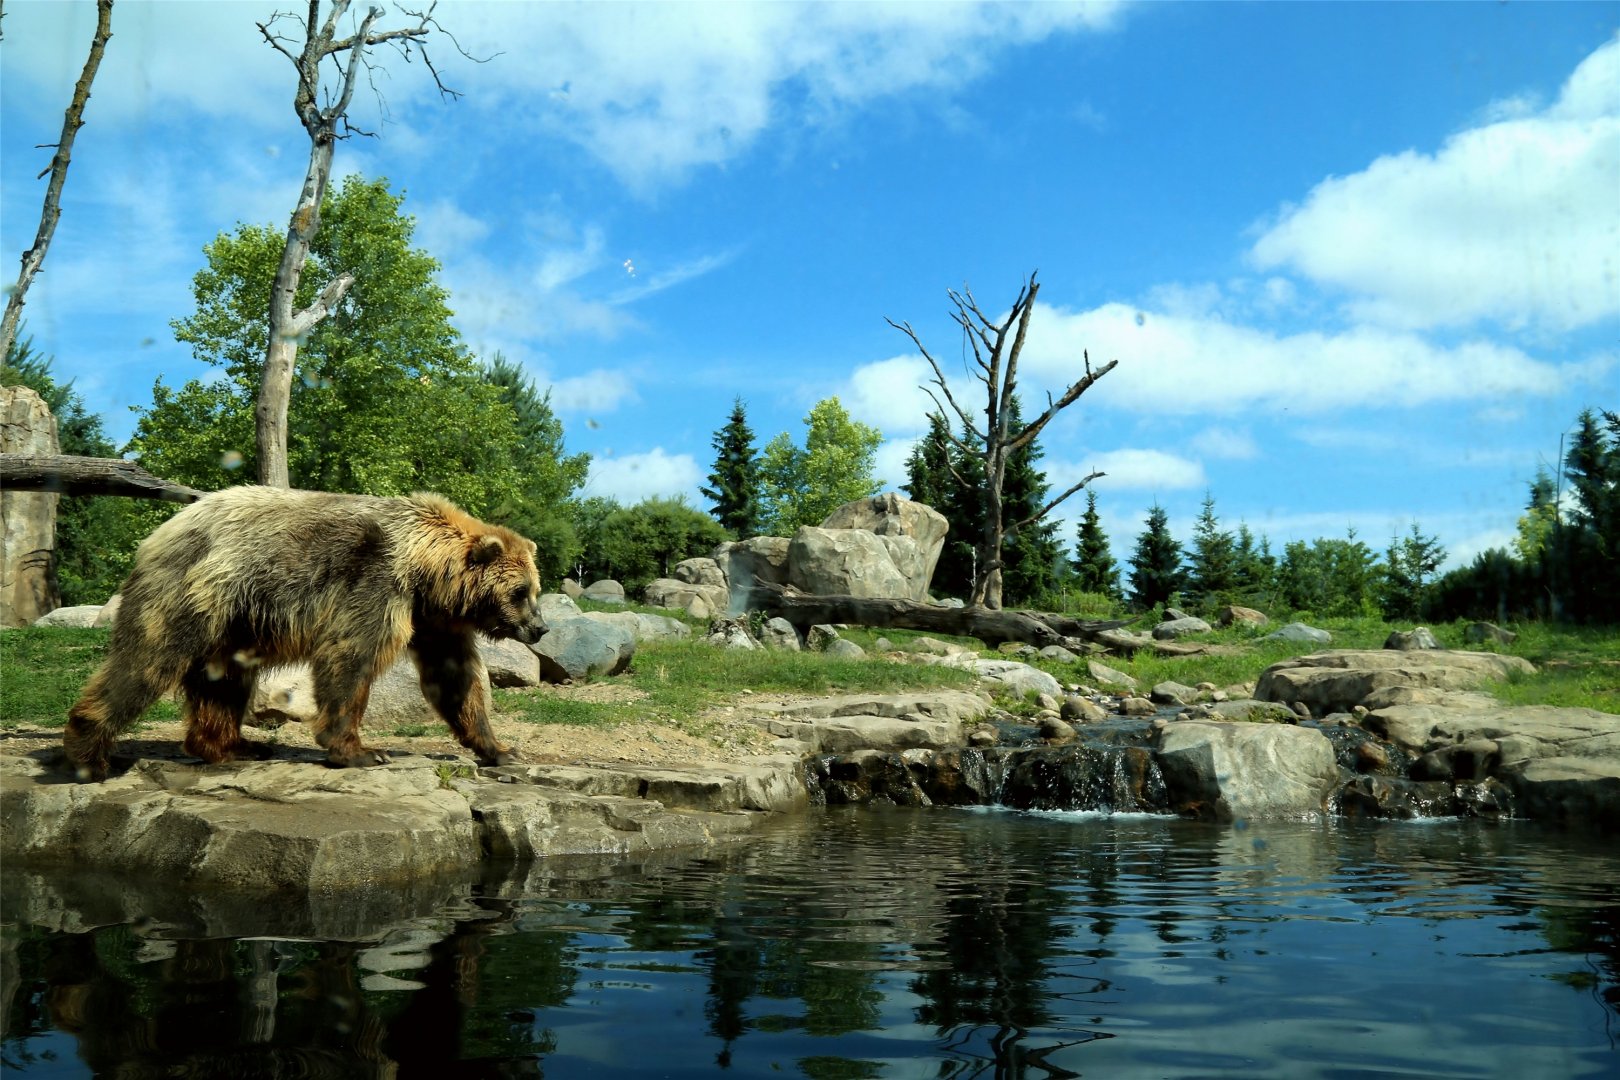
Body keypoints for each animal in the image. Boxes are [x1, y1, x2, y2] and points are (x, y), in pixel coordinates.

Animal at [63, 486, 546, 782]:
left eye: (534, 589)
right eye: (520, 591)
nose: (540, 627)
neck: (424, 572)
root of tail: (161, 531)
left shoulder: (433, 620)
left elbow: (456, 681)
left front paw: (500, 749)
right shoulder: (373, 583)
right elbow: (349, 657)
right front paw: (362, 751)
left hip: (232, 622)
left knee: (223, 682)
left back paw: (235, 745)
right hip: (197, 591)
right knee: (148, 661)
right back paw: (90, 755)